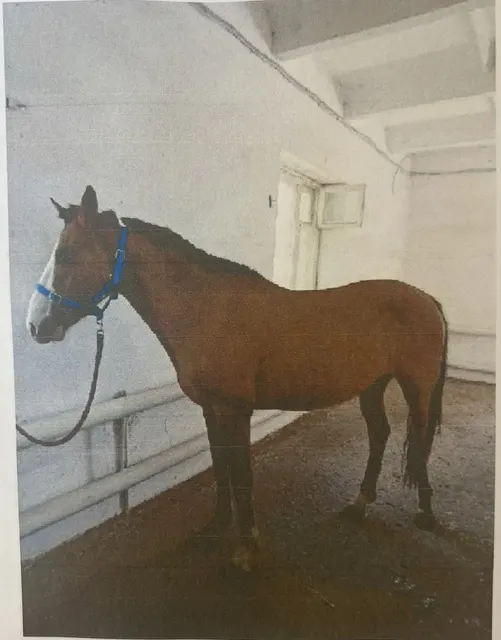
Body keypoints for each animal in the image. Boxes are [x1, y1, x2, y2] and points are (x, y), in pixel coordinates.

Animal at [26, 185, 448, 571]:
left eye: (65, 254)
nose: (35, 325)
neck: (207, 309)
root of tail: (426, 298)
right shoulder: (212, 410)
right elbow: (221, 467)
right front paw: (216, 526)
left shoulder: (235, 410)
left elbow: (241, 474)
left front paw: (247, 546)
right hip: (372, 386)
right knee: (380, 435)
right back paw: (359, 504)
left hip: (417, 387)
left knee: (420, 441)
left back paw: (426, 513)